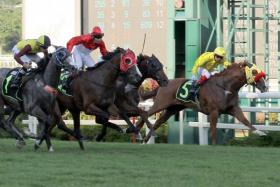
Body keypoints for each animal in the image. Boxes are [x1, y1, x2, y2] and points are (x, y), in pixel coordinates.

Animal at [137, 62, 268, 144]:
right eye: (254, 71)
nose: (265, 86)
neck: (225, 87)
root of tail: (161, 85)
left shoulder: (233, 108)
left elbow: (245, 121)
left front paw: (261, 132)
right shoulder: (214, 111)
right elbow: (213, 130)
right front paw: (214, 145)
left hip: (172, 109)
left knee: (157, 122)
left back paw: (145, 140)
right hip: (160, 104)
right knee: (145, 114)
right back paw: (137, 131)